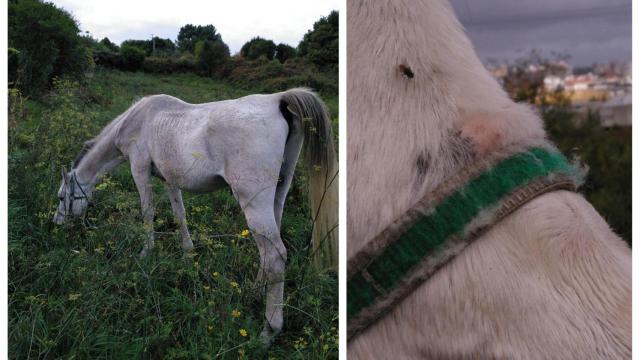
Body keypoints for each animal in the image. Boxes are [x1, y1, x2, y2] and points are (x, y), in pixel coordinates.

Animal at [52, 88, 338, 342]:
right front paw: (188, 253)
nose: (56, 223)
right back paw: (256, 290)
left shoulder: (139, 168)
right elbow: (179, 214)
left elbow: (147, 213)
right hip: (277, 195)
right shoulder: (169, 178)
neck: (139, 119)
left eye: (61, 197)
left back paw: (269, 330)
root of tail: (278, 100)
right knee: (269, 252)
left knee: (276, 256)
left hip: (254, 203)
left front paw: (146, 253)